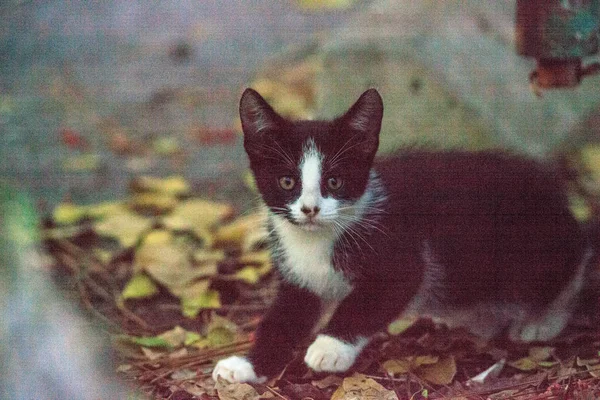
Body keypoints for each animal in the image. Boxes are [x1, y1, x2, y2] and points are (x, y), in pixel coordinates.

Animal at [213, 88, 592, 384]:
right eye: (287, 181)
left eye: (334, 181)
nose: (309, 209)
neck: (317, 240)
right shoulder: (297, 279)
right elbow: (280, 320)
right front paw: (245, 365)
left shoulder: (401, 253)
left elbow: (364, 303)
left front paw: (329, 347)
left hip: (526, 251)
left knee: (576, 259)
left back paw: (542, 322)